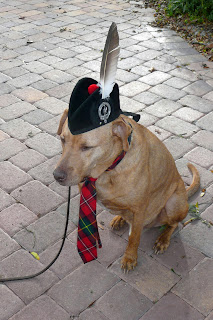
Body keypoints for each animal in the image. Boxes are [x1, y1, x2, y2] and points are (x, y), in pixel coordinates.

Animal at [53, 109, 200, 270]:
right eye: (62, 139)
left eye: (87, 147)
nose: (57, 176)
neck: (108, 170)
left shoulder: (139, 209)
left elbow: (134, 238)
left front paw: (130, 258)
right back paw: (120, 219)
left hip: (173, 203)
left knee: (173, 224)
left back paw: (163, 239)